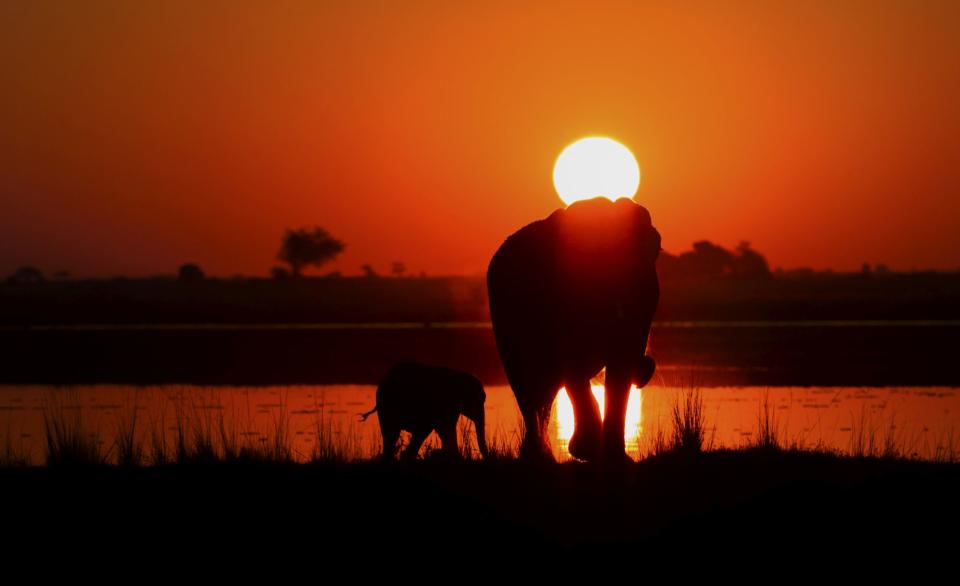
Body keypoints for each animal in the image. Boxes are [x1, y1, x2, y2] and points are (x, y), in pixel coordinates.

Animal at [362, 358, 492, 458]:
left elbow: (442, 430)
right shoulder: (446, 403)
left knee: (392, 436)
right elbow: (445, 429)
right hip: (387, 405)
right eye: (481, 398)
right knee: (396, 434)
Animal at [488, 196, 660, 460]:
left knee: (545, 387)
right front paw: (589, 451)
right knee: (528, 379)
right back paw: (541, 456)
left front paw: (616, 459)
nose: (647, 367)